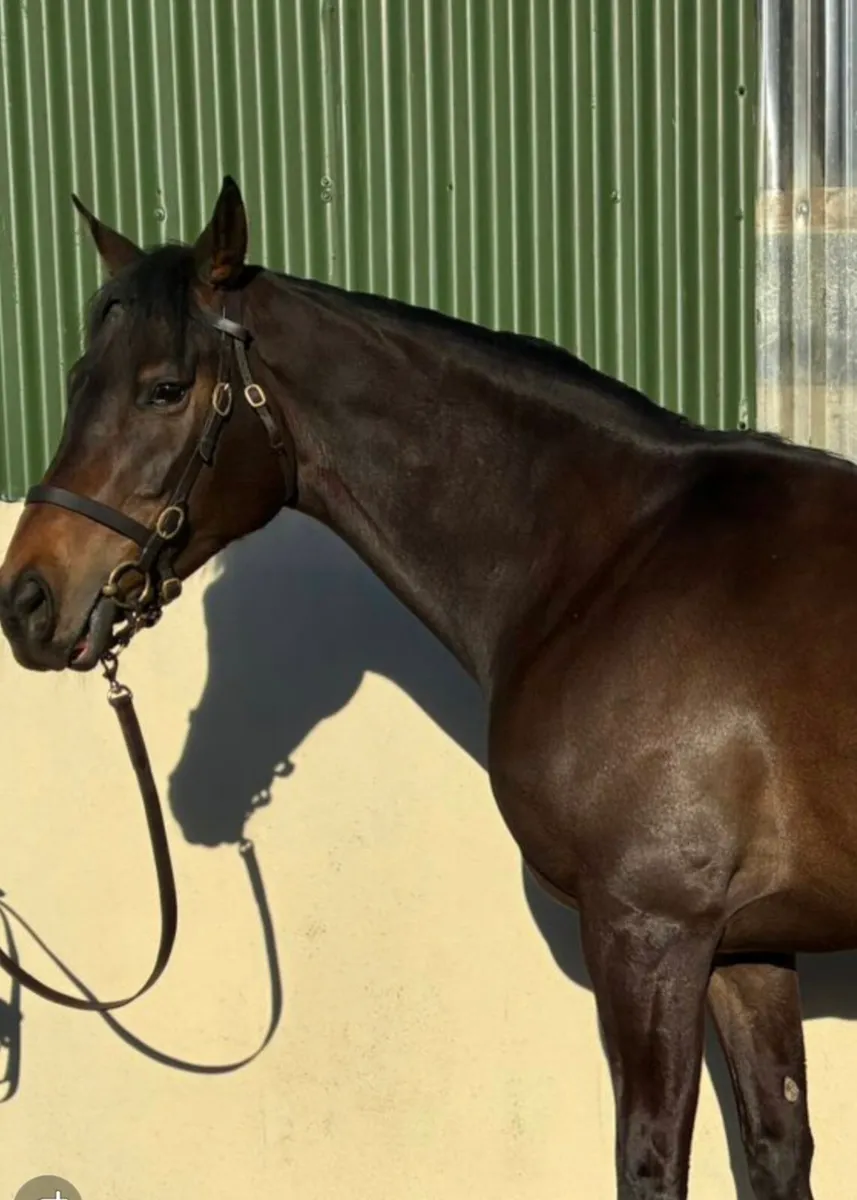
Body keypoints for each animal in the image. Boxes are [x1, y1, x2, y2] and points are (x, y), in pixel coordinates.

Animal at [0, 175, 853, 1199]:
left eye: (164, 389)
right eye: (77, 382)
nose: (27, 601)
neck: (612, 556)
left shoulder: (650, 930)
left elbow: (651, 1159)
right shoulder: (743, 944)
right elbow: (776, 1145)